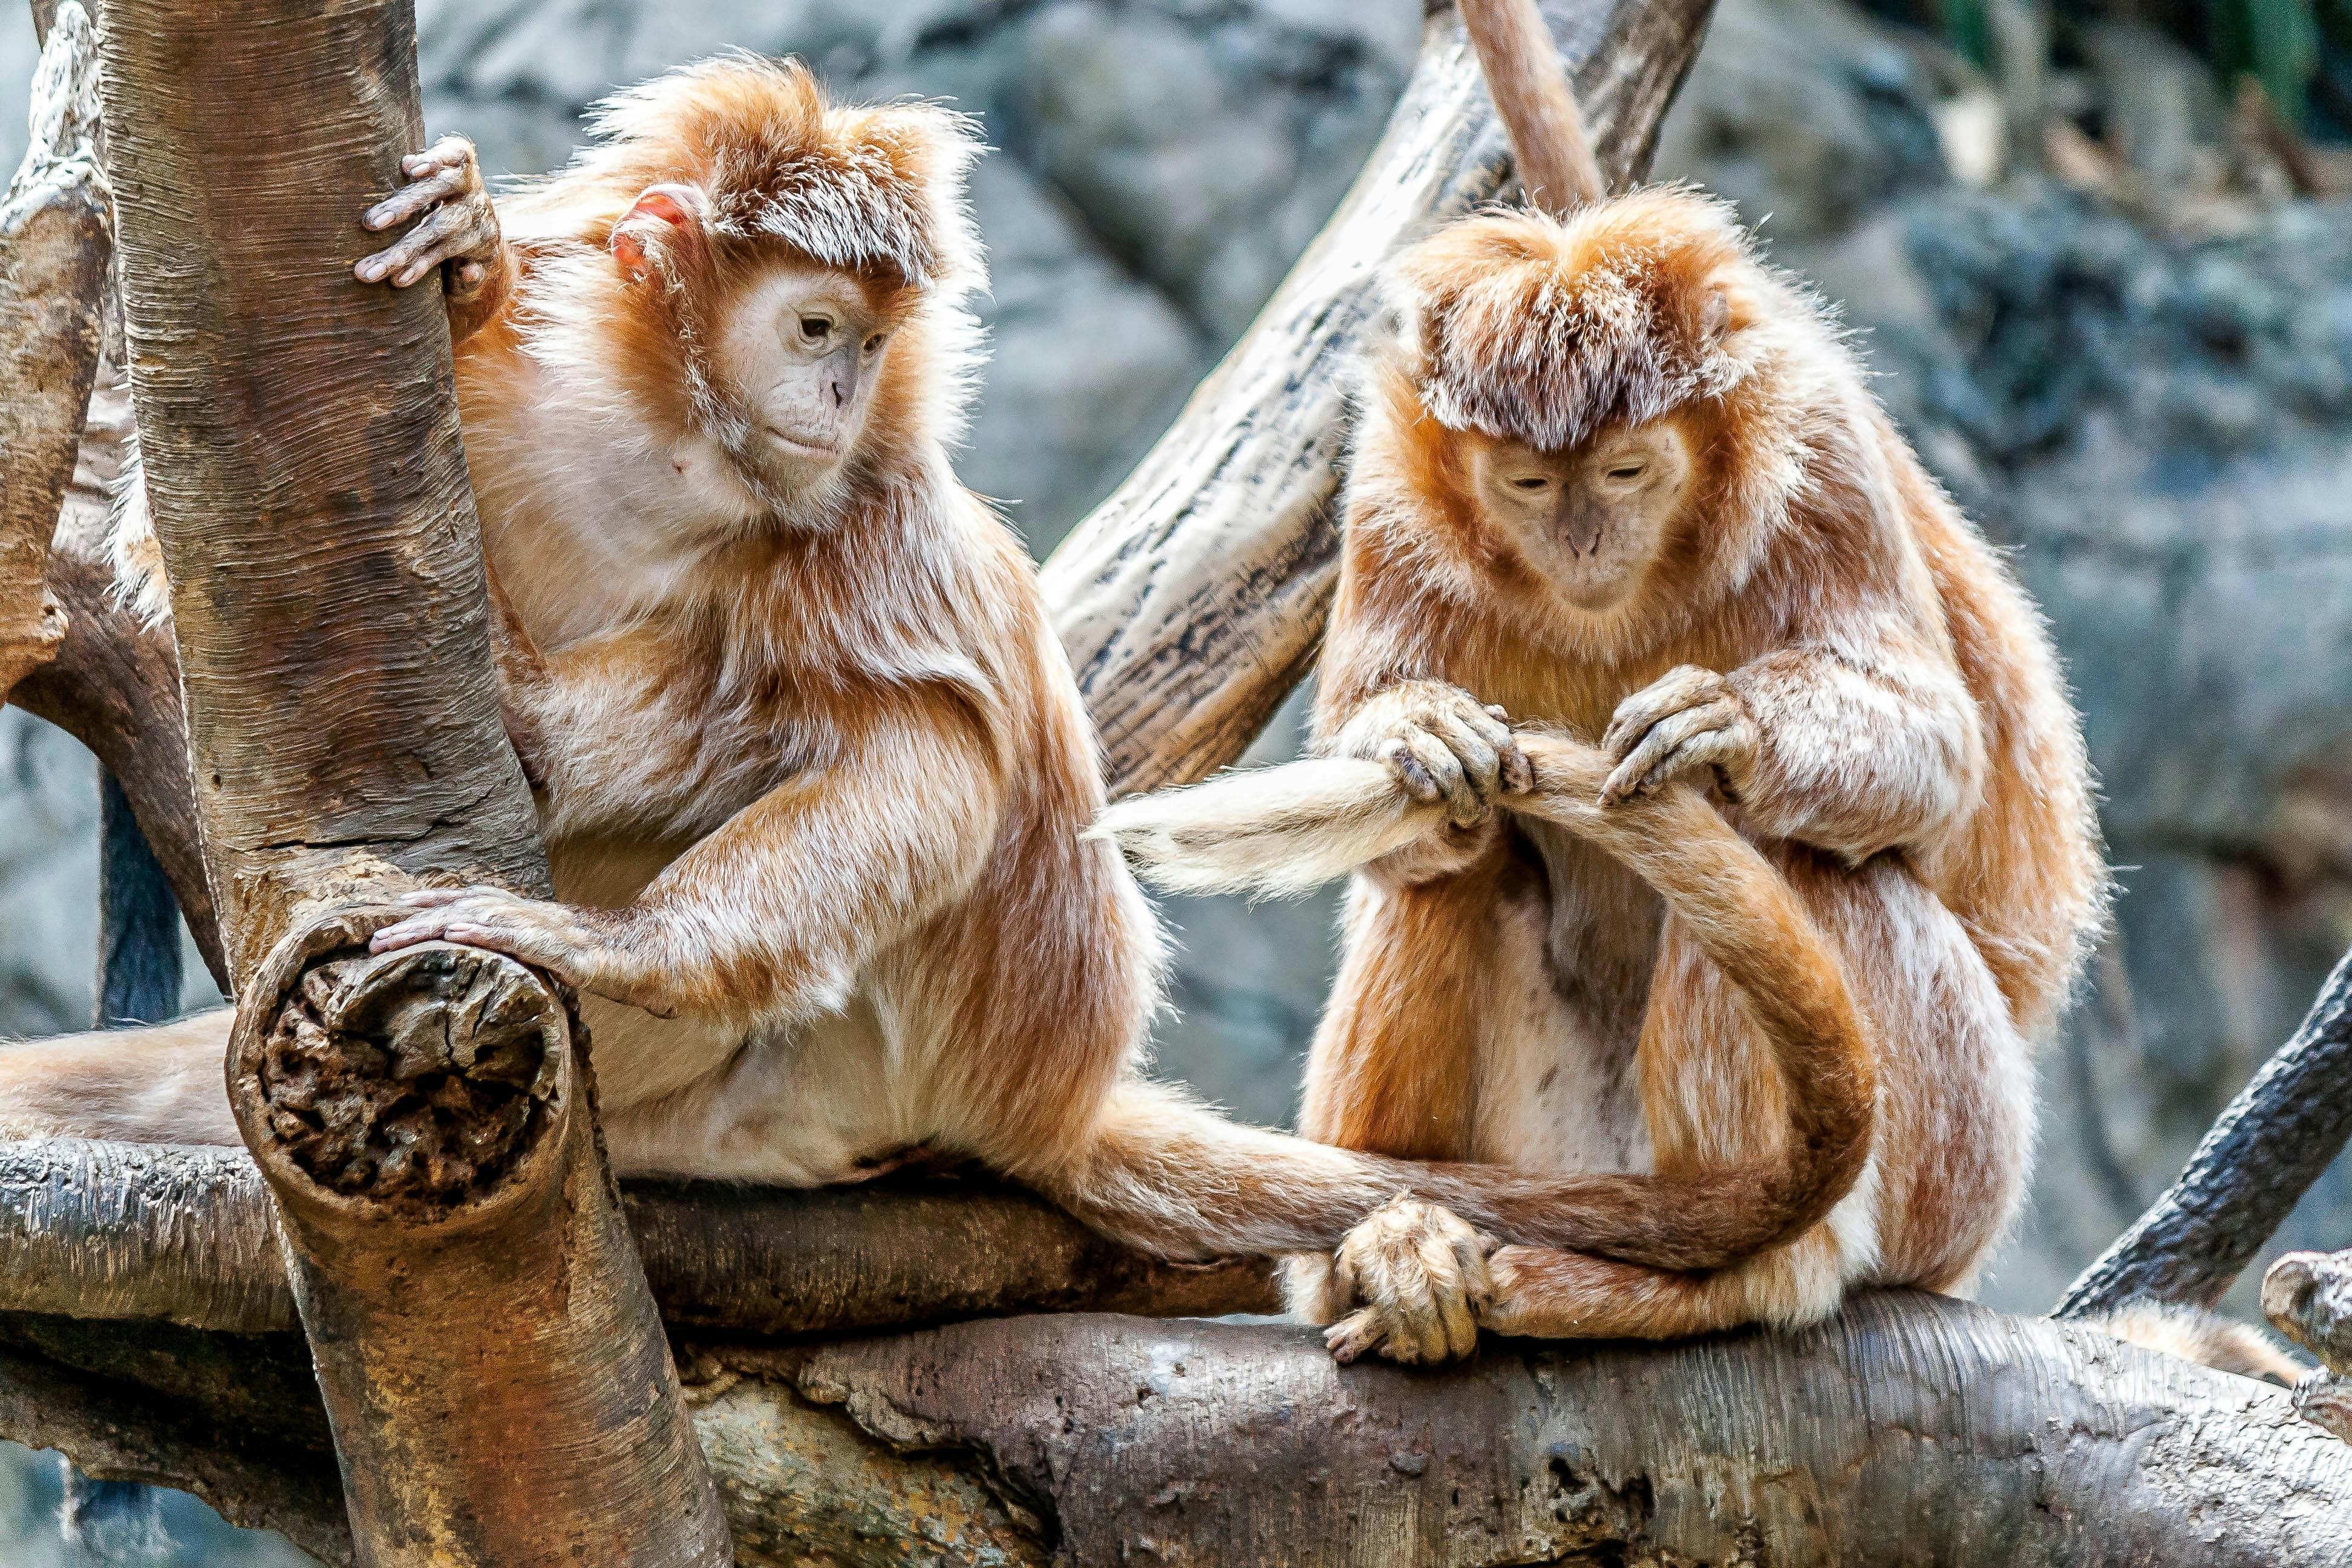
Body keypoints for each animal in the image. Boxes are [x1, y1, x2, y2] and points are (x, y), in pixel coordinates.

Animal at [0, 58, 1890, 1279]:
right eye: (812, 325)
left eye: (865, 339)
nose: (843, 390)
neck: (670, 446)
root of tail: (1046, 1095)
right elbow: (179, 544)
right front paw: (459, 265)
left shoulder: (861, 512)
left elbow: (928, 755)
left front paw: (607, 933)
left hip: (897, 1039)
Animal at [1100, 186, 2117, 1363]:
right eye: (1529, 483)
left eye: (1628, 470)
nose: (1583, 540)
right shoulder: (1384, 488)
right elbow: (1408, 808)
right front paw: (1416, 733)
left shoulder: (1819, 448)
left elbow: (1941, 757)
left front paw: (1729, 727)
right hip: (1549, 1148)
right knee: (1455, 872)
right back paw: (1390, 1244)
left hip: (1961, 1159)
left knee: (1802, 858)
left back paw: (1750, 1269)